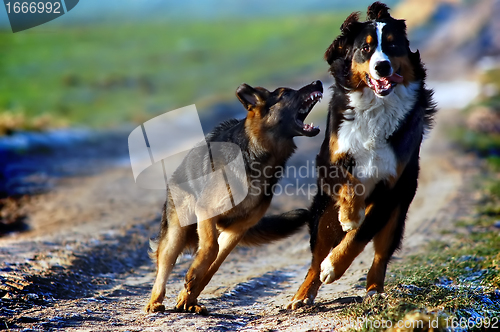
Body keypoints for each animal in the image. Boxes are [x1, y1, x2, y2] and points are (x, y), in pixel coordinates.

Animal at [288, 1, 436, 308]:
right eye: (365, 48)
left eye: (392, 45)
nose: (382, 65)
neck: (376, 108)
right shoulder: (330, 160)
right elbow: (350, 184)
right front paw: (349, 215)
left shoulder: (392, 186)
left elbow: (361, 234)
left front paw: (335, 266)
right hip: (322, 212)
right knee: (316, 257)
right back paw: (303, 294)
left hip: (398, 210)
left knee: (380, 254)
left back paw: (373, 291)